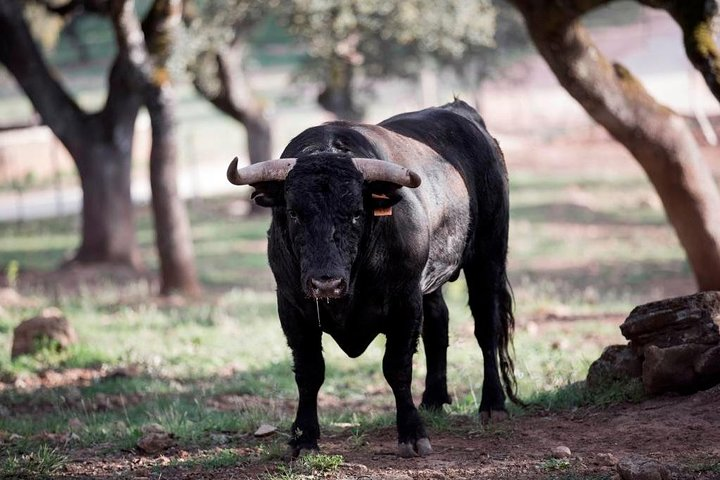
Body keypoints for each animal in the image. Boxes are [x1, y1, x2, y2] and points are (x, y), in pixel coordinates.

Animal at [227, 99, 519, 458]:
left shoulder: (404, 302)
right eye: (294, 213)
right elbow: (309, 372)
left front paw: (412, 434)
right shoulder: (291, 306)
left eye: (356, 213)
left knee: (486, 327)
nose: (326, 283)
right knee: (439, 322)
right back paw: (433, 399)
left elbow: (397, 367)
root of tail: (462, 112)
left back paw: (493, 404)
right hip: (431, 280)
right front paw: (304, 438)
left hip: (488, 256)